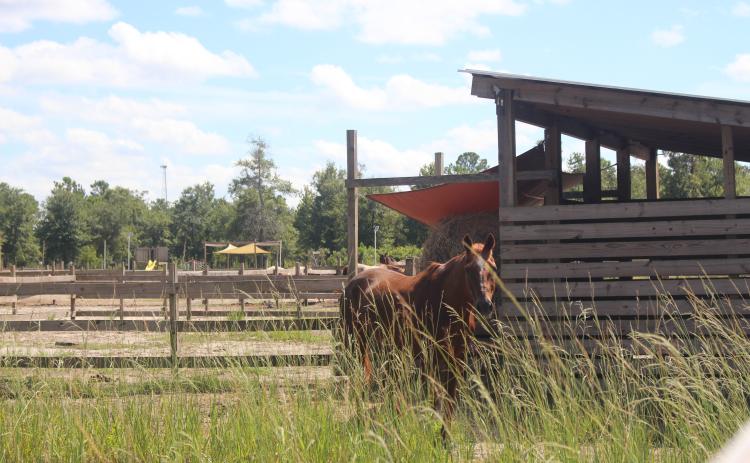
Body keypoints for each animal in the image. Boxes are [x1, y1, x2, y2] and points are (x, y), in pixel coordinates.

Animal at [341, 234, 497, 431]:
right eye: (468, 269)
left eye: (493, 267)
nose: (484, 305)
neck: (446, 299)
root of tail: (352, 283)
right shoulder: (435, 355)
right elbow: (437, 397)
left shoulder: (458, 356)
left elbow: (450, 398)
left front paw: (445, 432)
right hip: (356, 342)